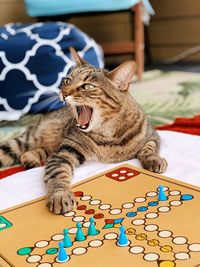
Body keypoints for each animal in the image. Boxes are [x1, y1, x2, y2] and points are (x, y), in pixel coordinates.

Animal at [0, 48, 167, 216]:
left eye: (87, 86)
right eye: (67, 81)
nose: (63, 93)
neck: (108, 134)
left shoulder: (152, 134)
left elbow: (149, 148)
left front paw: (154, 159)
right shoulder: (65, 151)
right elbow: (57, 174)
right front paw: (60, 194)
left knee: (34, 152)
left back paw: (31, 160)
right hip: (24, 142)